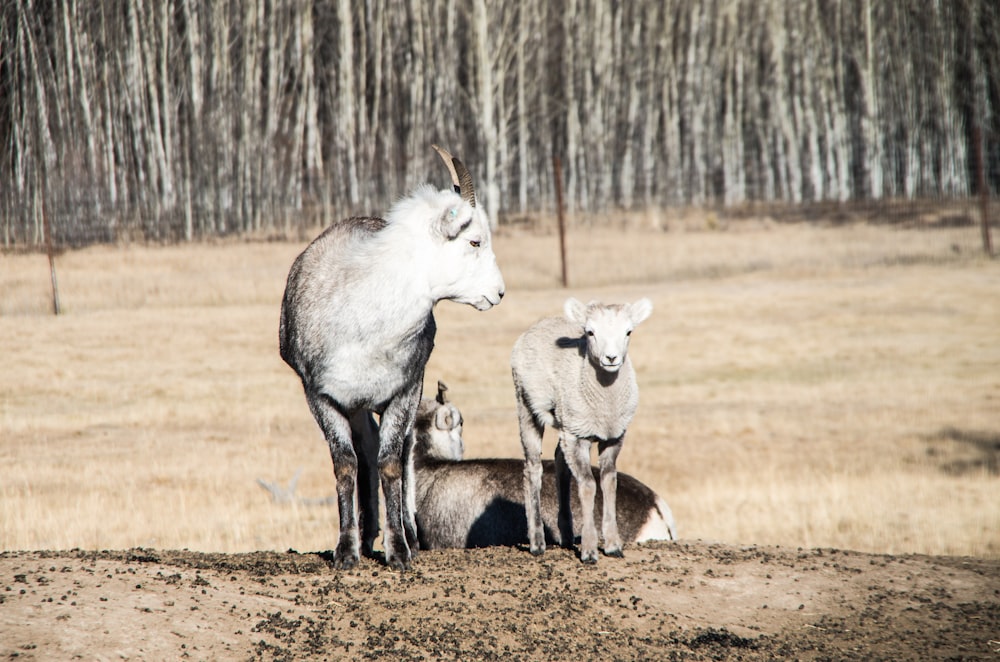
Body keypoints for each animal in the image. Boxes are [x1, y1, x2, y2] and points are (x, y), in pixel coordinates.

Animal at [278, 145, 504, 572]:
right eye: (475, 242)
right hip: (358, 407)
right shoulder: (322, 397)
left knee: (401, 451)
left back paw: (408, 537)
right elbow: (347, 463)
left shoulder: (403, 392)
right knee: (364, 452)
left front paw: (399, 552)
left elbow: (391, 463)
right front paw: (347, 553)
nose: (498, 293)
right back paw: (367, 537)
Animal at [512, 298, 652, 564]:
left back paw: (566, 535)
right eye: (590, 332)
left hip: (566, 426)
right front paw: (589, 551)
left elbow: (609, 483)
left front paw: (613, 546)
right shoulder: (579, 438)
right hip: (528, 409)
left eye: (628, 332)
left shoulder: (613, 438)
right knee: (532, 468)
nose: (611, 358)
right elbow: (588, 485)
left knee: (560, 462)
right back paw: (537, 543)